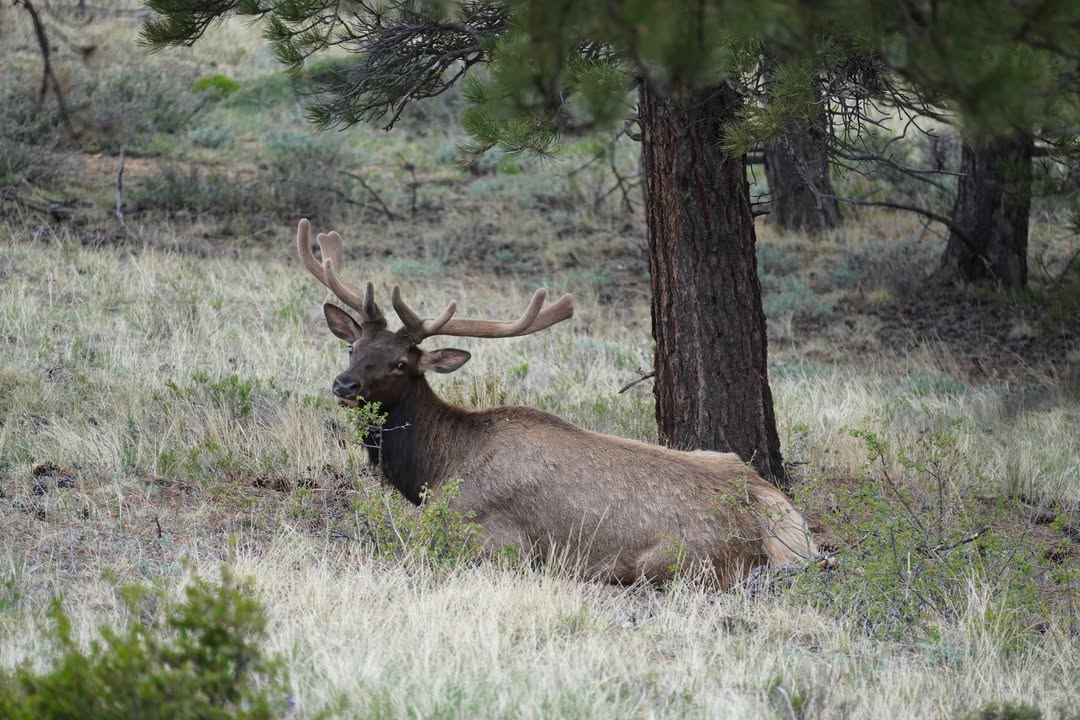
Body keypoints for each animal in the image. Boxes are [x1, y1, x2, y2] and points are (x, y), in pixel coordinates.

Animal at [296, 219, 815, 588]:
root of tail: (770, 518)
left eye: (402, 362)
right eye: (353, 346)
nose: (344, 385)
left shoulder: (492, 537)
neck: (433, 468)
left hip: (676, 560)